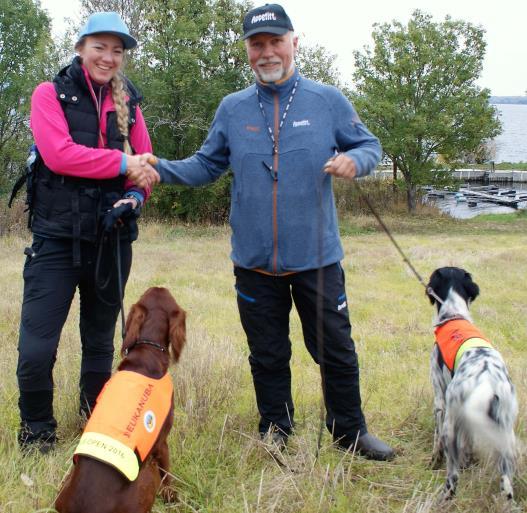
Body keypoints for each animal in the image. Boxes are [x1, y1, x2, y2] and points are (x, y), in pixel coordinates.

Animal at [426, 266, 516, 498]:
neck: (454, 315)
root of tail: (488, 380)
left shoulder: (440, 400)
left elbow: (437, 441)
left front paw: (433, 461)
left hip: (450, 423)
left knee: (453, 477)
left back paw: (445, 497)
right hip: (505, 433)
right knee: (507, 485)